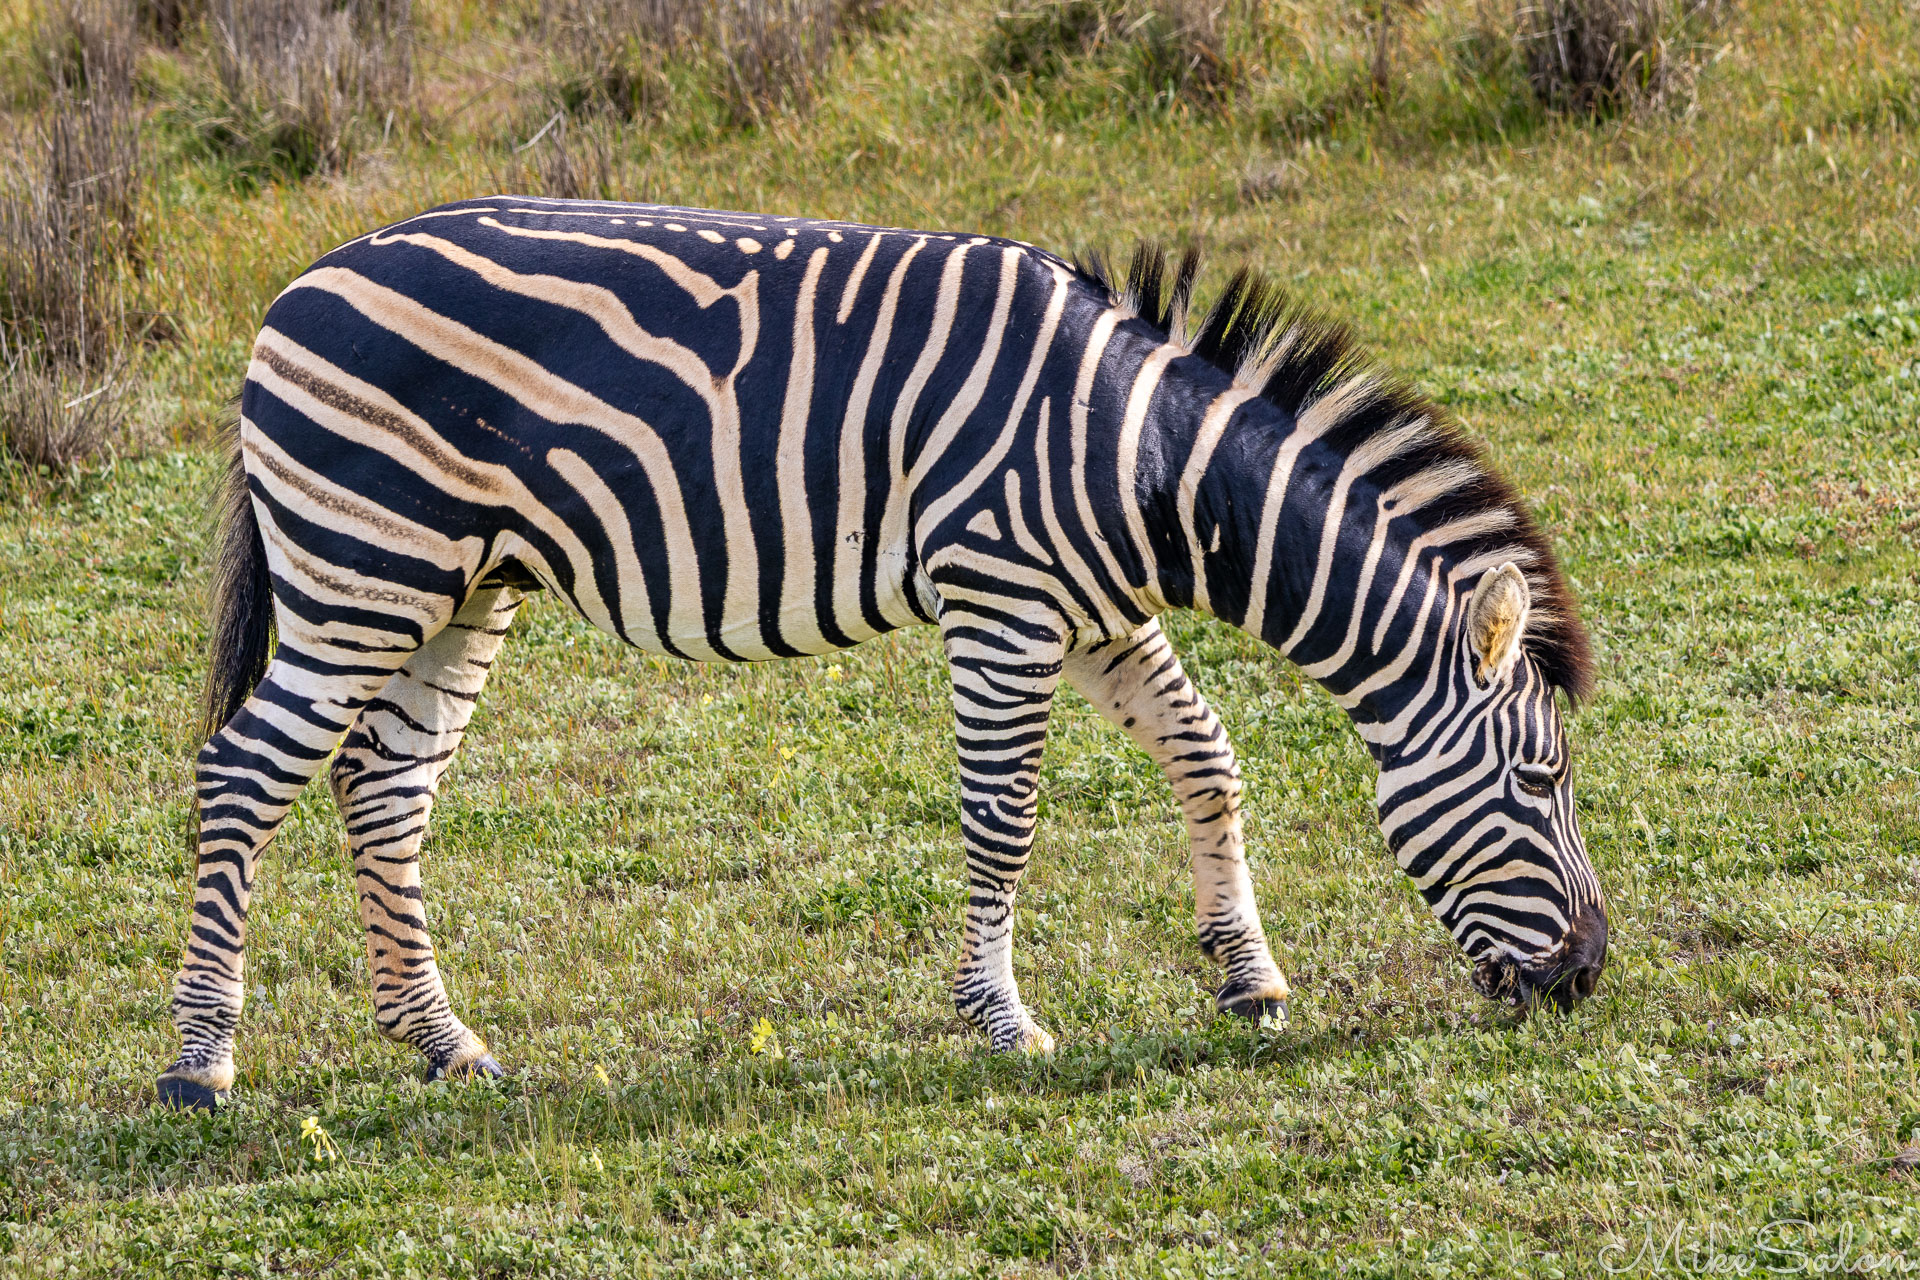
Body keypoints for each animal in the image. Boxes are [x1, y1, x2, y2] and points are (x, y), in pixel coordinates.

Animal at [157, 197, 1608, 1110]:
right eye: (1542, 785)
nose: (1589, 976)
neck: (1146, 461)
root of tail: (298, 285)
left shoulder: (1098, 609)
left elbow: (1207, 756)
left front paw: (1246, 976)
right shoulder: (1004, 602)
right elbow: (1002, 819)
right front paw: (1003, 1018)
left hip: (459, 585)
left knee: (382, 789)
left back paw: (441, 1041)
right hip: (363, 564)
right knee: (243, 777)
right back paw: (200, 1061)